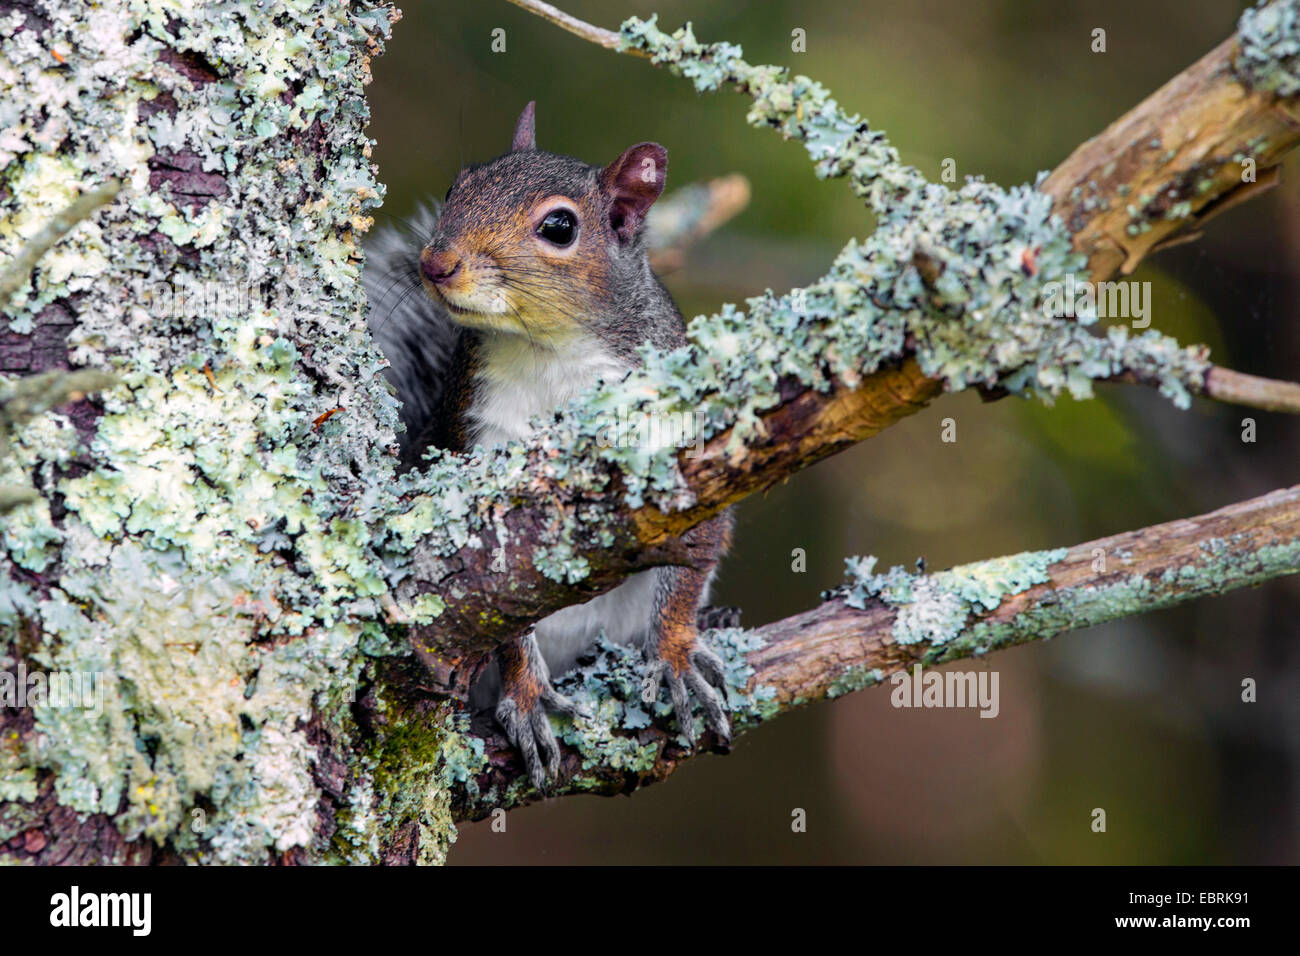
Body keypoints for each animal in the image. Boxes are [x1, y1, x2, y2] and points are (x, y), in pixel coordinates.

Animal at [365, 102, 737, 787]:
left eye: (560, 227)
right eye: (457, 188)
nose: (436, 263)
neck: (548, 349)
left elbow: (693, 551)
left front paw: (676, 652)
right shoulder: (477, 438)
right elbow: (497, 605)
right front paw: (527, 695)